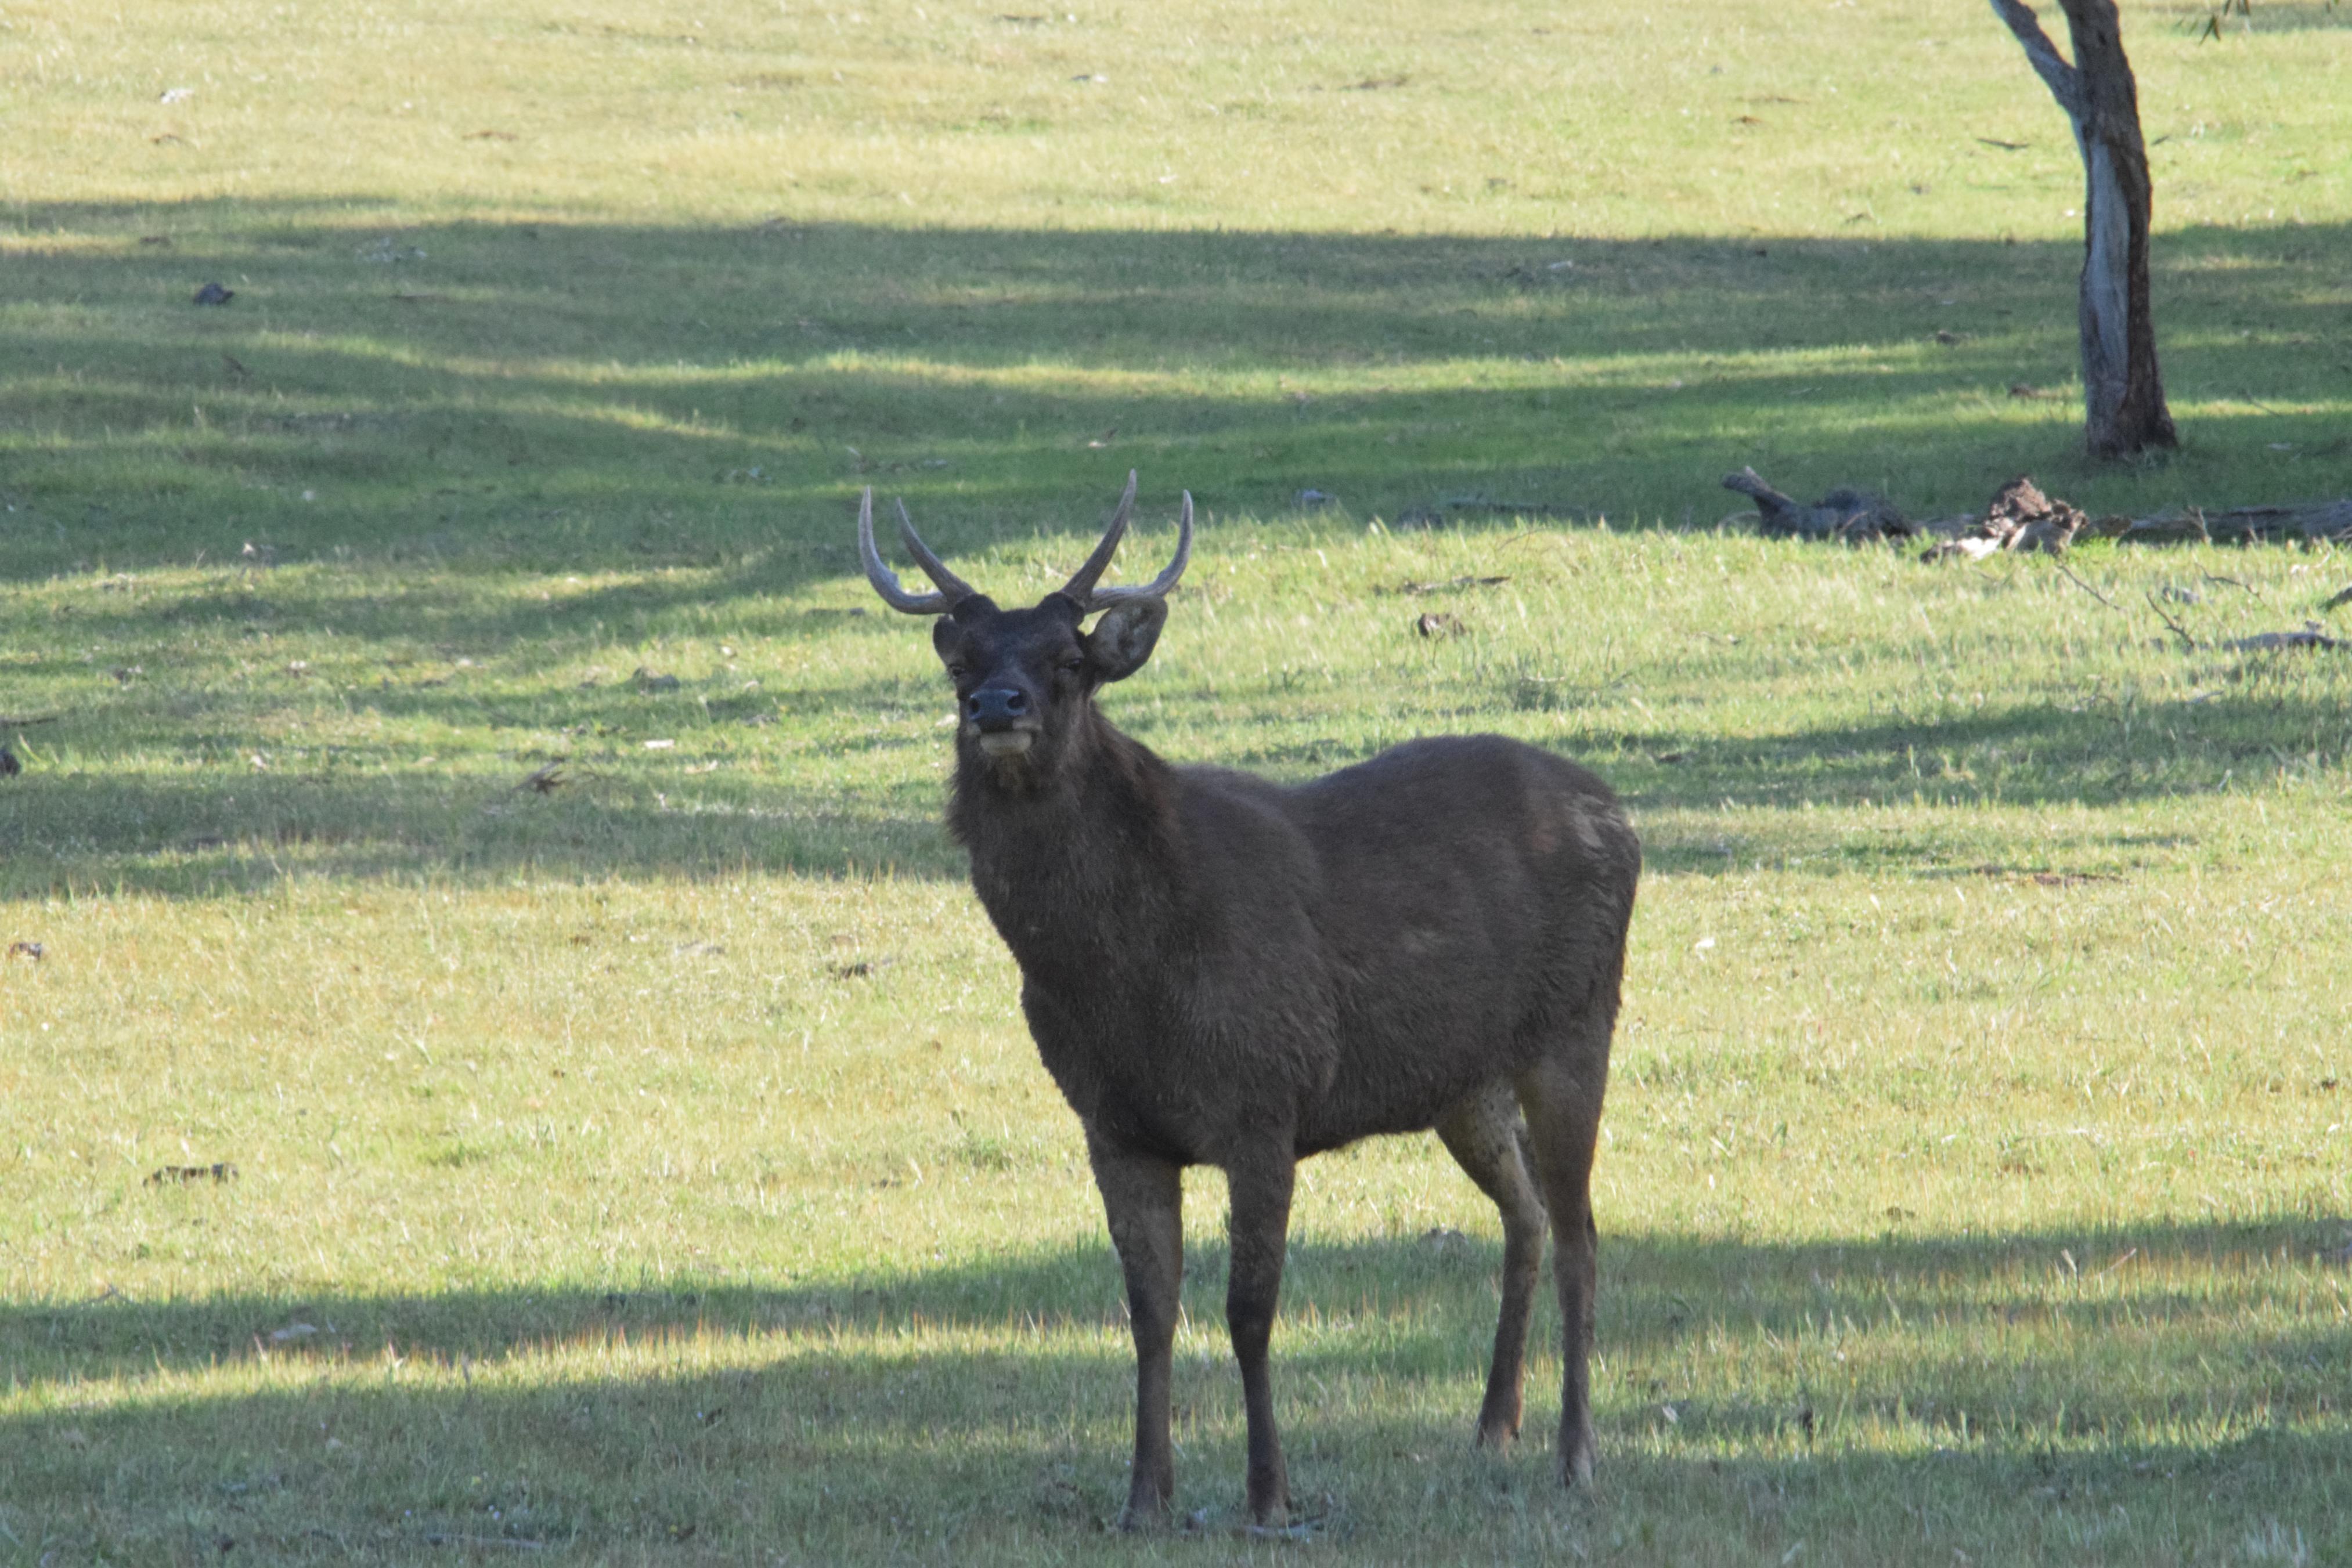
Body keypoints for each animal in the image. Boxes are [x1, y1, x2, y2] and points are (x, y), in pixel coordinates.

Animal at [856, 475, 1646, 1533]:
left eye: (1069, 659)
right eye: (959, 663)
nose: (996, 704)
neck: (1117, 983)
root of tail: (1622, 817)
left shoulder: (1264, 1097)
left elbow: (1248, 1310)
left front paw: (1269, 1492)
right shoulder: (1114, 1124)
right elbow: (1149, 1312)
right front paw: (1143, 1496)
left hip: (1577, 1023)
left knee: (1579, 1232)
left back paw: (1575, 1454)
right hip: (1461, 1082)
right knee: (1523, 1211)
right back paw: (1491, 1427)